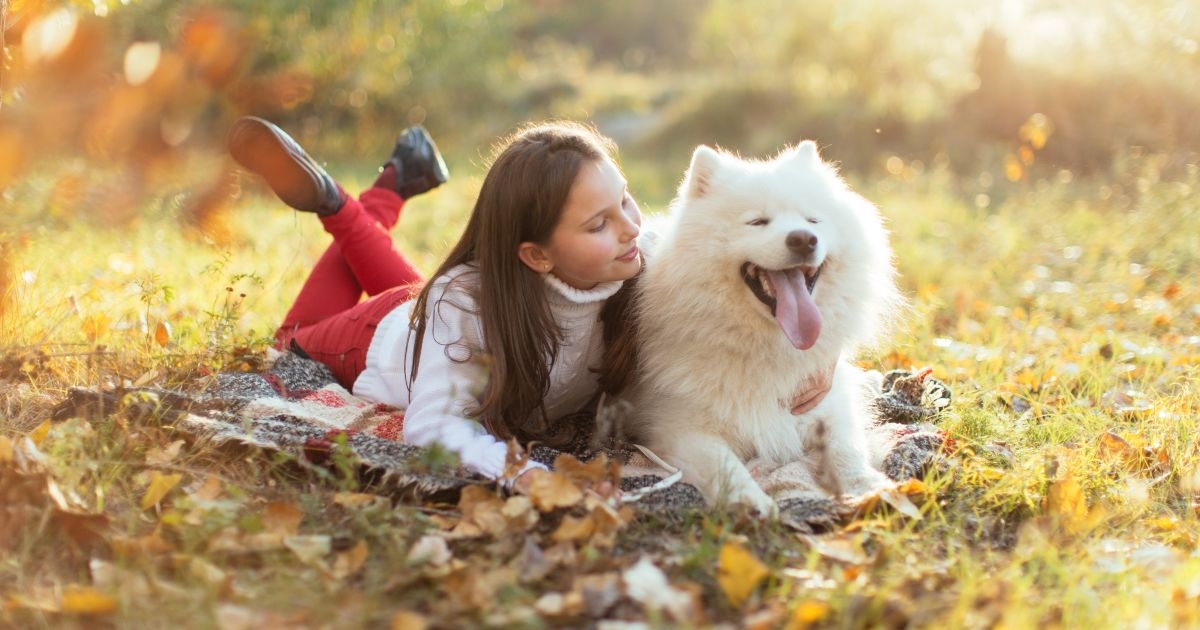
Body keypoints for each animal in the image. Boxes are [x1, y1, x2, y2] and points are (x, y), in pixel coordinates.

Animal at [628, 139, 902, 513]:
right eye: (757, 222)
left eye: (813, 219)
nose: (803, 239)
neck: (768, 348)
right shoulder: (678, 428)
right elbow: (724, 465)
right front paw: (750, 503)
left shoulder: (827, 405)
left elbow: (847, 448)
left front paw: (869, 487)